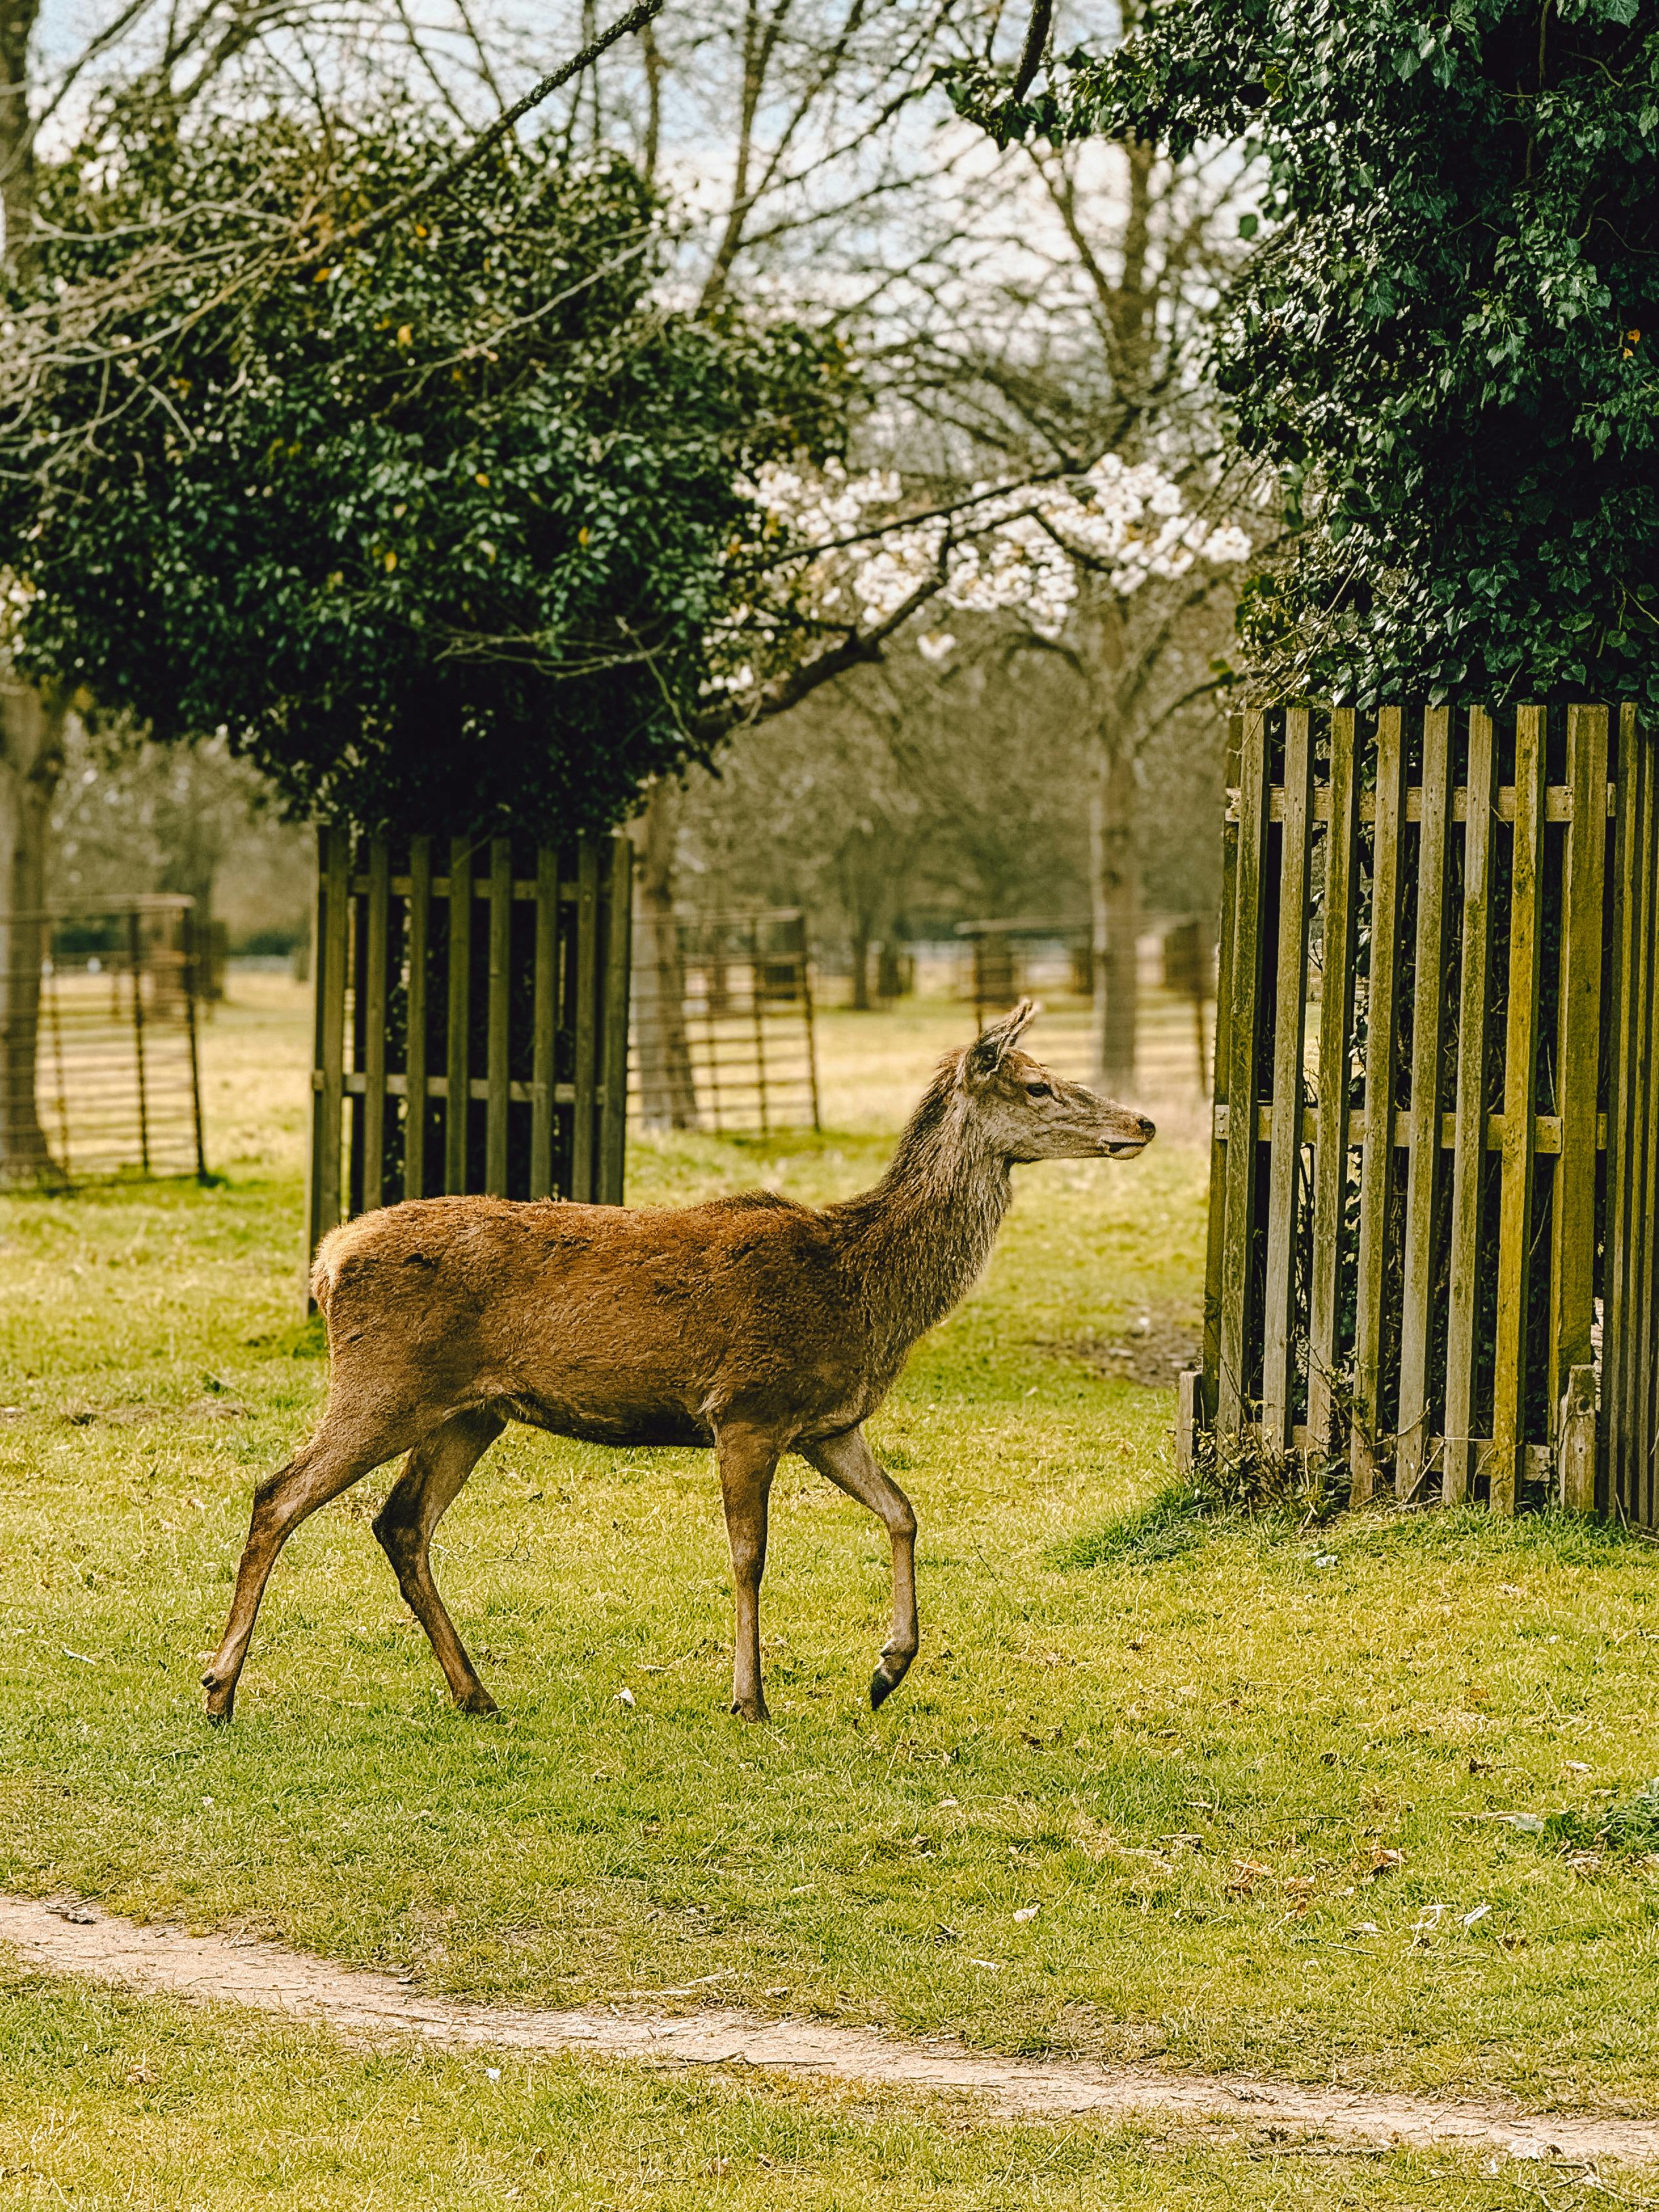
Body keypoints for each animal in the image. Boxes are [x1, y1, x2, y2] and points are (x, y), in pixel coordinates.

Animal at [201, 1001, 1154, 1727]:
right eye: (1036, 1082)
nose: (1140, 1121)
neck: (864, 1289)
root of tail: (327, 1262)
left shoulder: (828, 1423)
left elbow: (903, 1512)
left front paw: (887, 1669)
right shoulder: (746, 1407)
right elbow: (748, 1554)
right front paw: (750, 1698)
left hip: (470, 1409)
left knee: (400, 1523)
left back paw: (475, 1693)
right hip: (384, 1381)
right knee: (278, 1493)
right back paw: (219, 1686)